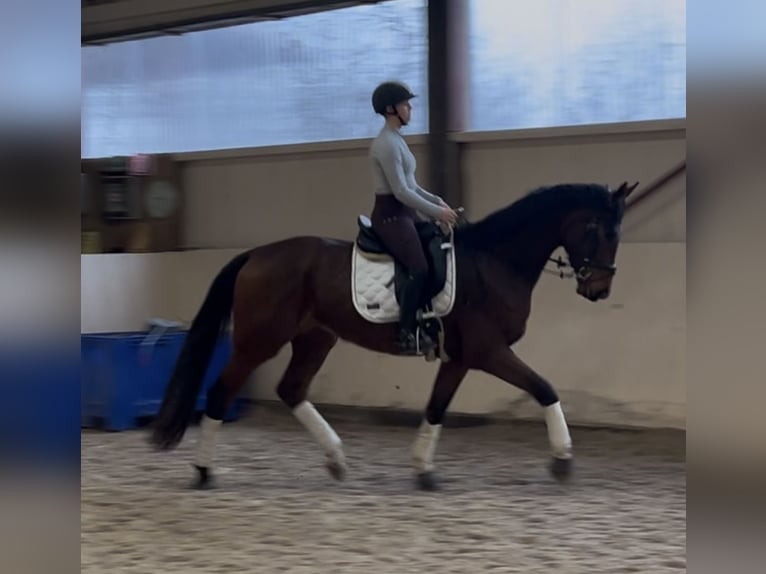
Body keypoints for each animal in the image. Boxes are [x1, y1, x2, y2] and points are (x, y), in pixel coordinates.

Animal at [150, 182, 640, 492]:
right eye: (603, 231)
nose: (600, 289)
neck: (495, 262)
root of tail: (256, 255)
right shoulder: (488, 351)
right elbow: (544, 388)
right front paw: (562, 461)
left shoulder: (460, 357)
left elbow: (437, 408)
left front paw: (423, 469)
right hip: (259, 342)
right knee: (220, 393)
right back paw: (204, 471)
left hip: (315, 338)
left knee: (291, 389)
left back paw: (336, 459)